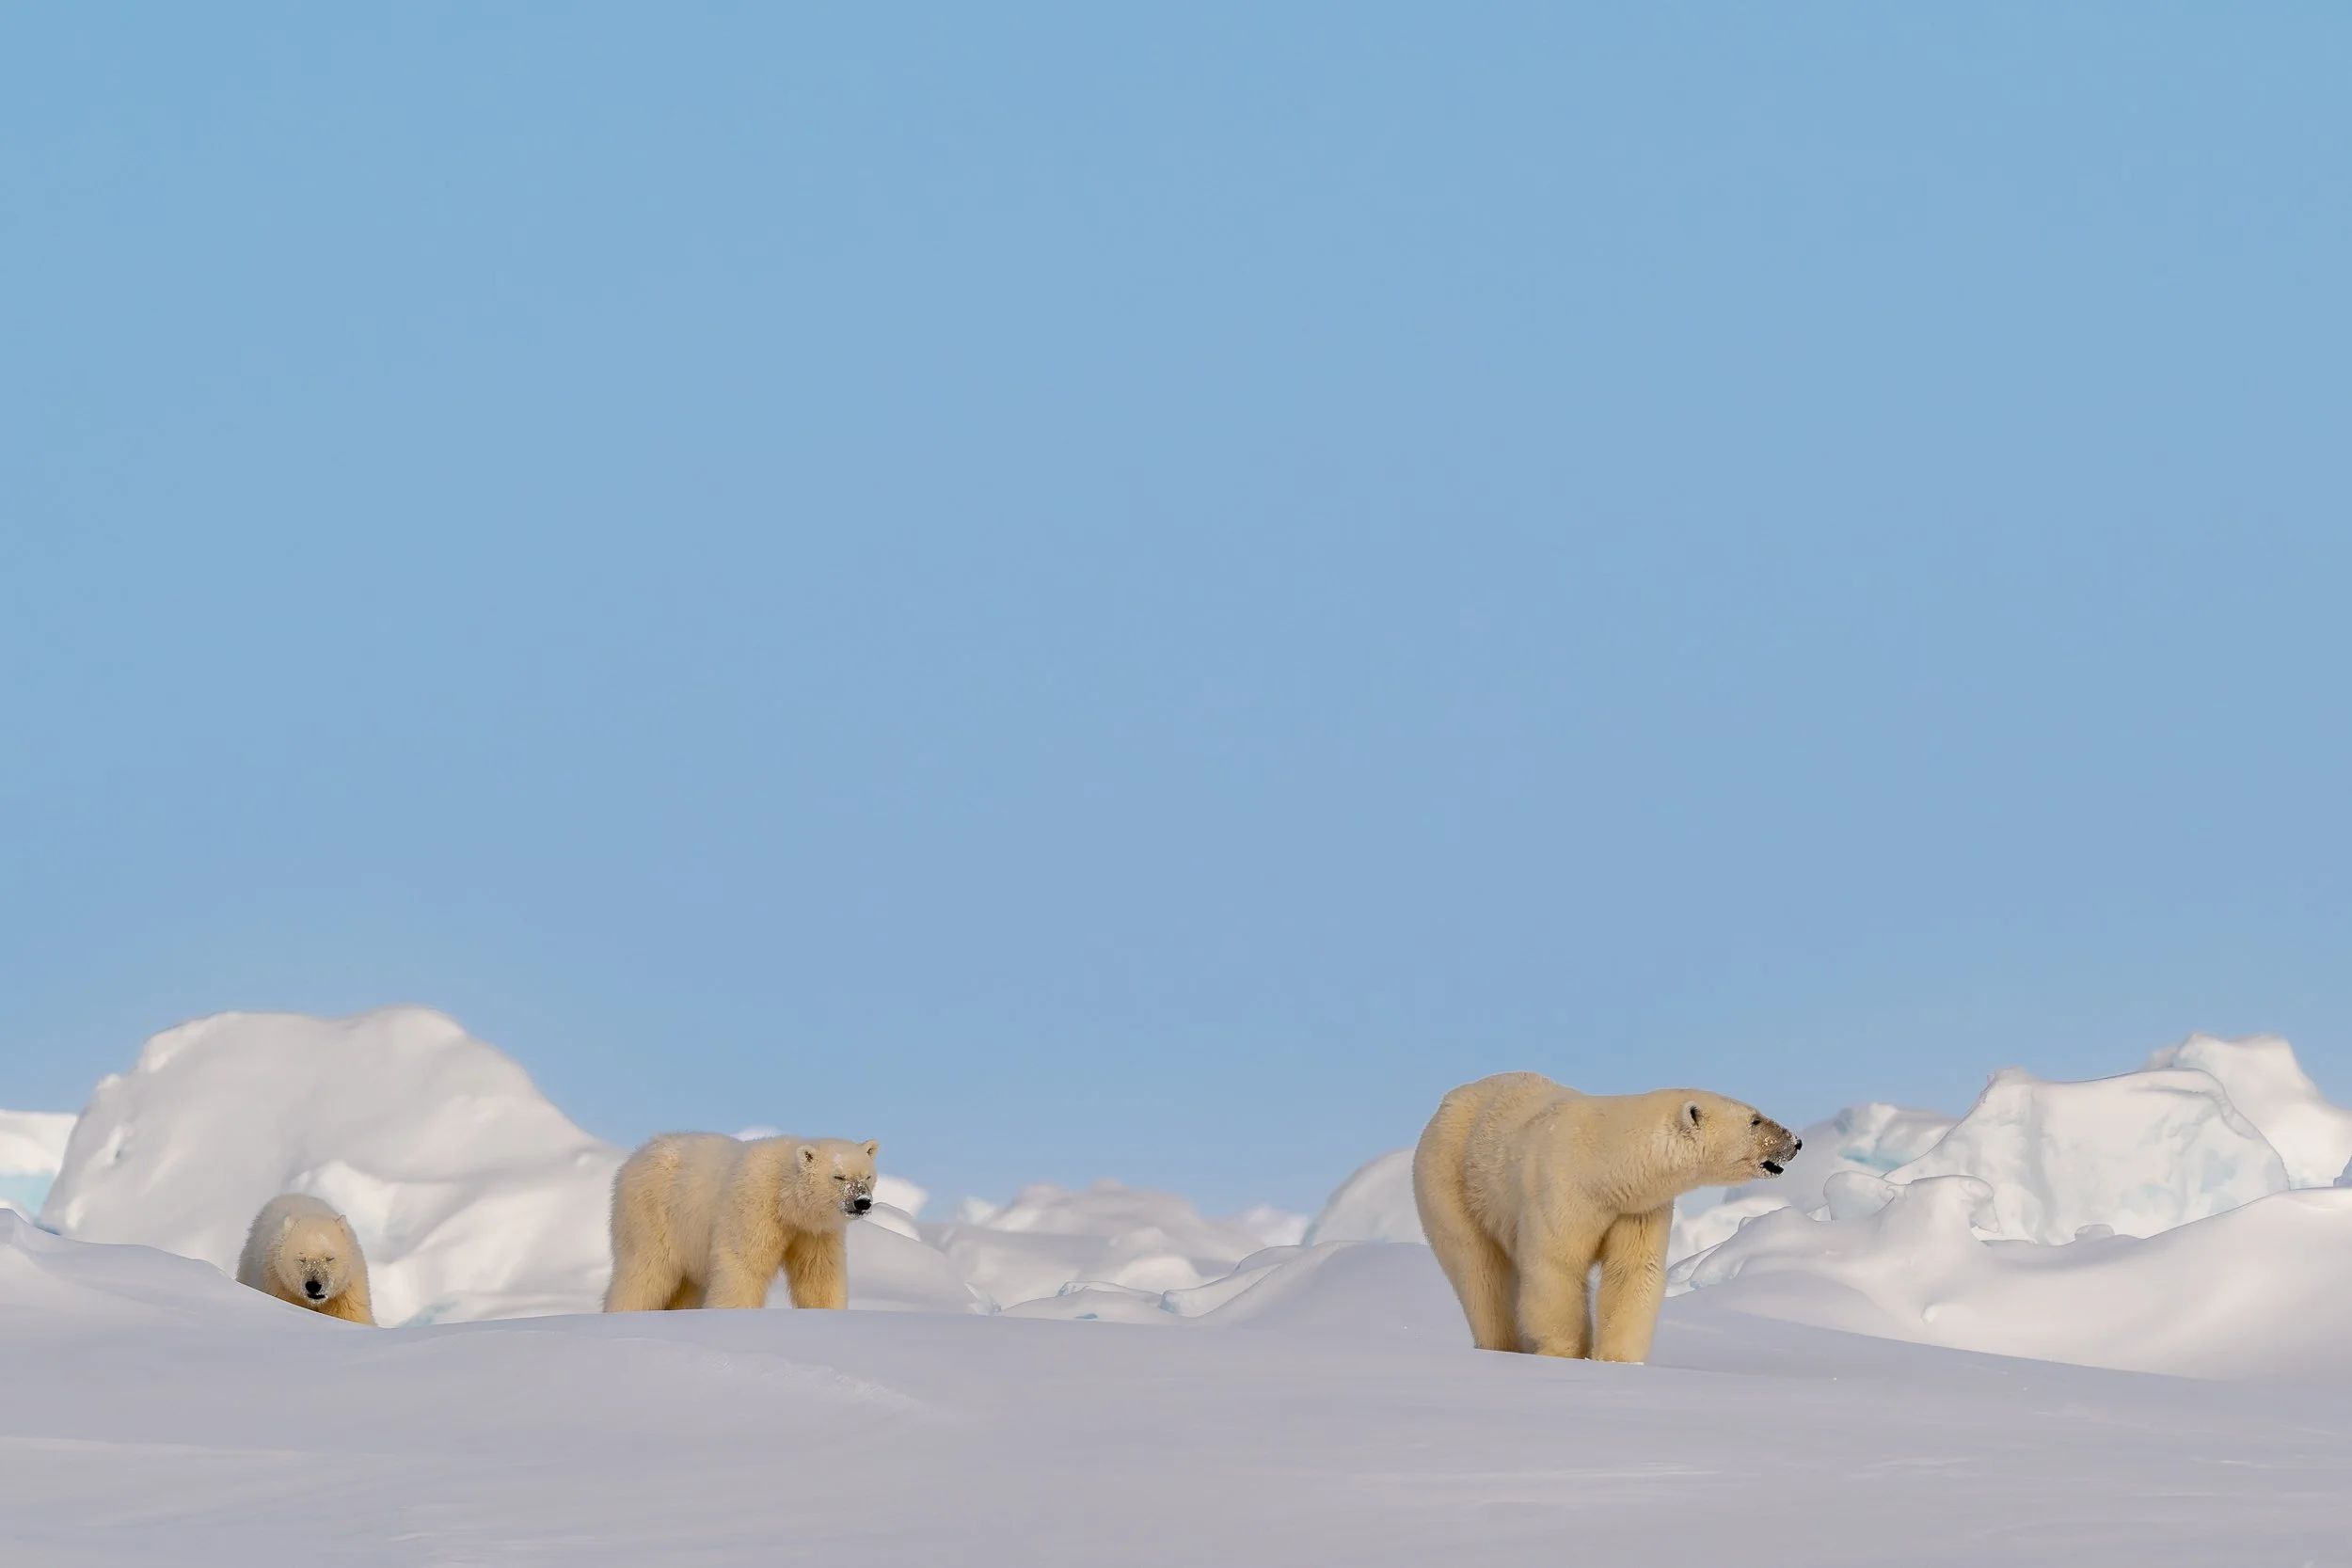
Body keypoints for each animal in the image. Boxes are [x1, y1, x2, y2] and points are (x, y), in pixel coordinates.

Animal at [235, 1192, 376, 1325]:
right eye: (301, 1258)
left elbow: (351, 1315)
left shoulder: (346, 1293)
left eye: (329, 1258)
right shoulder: (279, 1286)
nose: (313, 1285)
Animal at [603, 1132, 878, 1312]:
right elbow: (743, 1264)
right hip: (651, 1216)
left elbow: (818, 1273)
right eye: (839, 1176)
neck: (783, 1194)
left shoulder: (813, 1232)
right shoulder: (753, 1207)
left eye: (867, 1176)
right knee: (644, 1272)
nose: (862, 1202)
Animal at [1412, 1072, 1797, 1363]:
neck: (1602, 1166)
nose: (1796, 1142)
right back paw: (1502, 1344)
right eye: (1755, 1120)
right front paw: (1564, 1353)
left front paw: (1615, 1359)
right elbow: (1556, 1267)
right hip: (1451, 1181)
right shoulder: (1562, 1192)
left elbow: (1631, 1272)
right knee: (1479, 1268)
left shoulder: (1636, 1209)